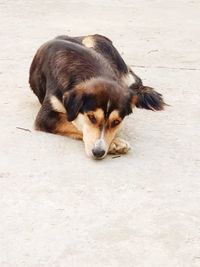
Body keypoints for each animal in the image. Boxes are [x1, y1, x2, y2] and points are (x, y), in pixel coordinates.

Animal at [28, 33, 166, 159]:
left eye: (116, 122)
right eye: (91, 117)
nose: (98, 152)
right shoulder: (46, 116)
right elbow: (76, 124)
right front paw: (115, 143)